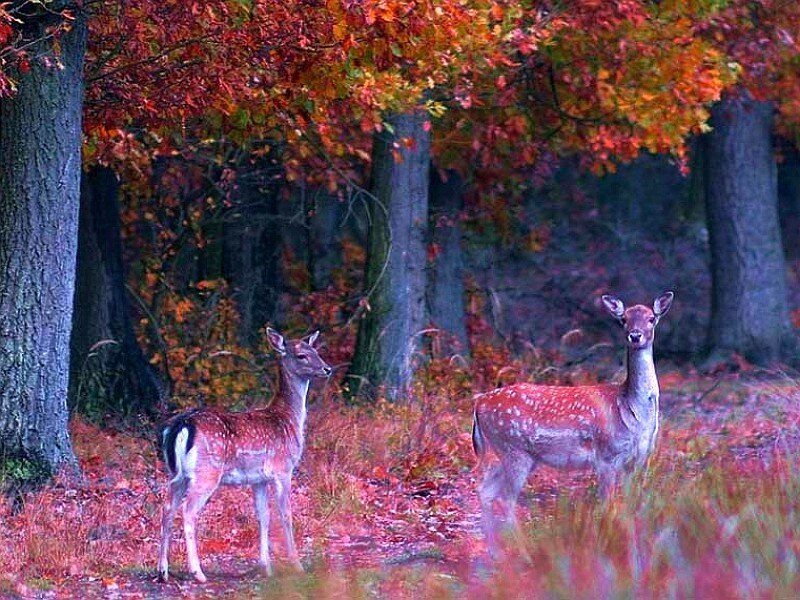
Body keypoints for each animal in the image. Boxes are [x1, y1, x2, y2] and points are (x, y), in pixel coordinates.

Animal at [157, 328, 332, 583]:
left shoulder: (258, 479)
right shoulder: (283, 469)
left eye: (316, 350)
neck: (288, 420)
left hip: (177, 474)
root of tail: (182, 425)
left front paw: (265, 566)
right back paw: (198, 572)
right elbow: (285, 515)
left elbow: (263, 516)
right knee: (188, 511)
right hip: (206, 472)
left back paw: (162, 571)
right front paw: (297, 565)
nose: (327, 369)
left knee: (168, 508)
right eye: (301, 355)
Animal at [472, 292, 674, 555]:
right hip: (513, 449)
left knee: (485, 490)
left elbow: (631, 504)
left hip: (515, 454)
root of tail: (479, 402)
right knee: (505, 499)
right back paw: (524, 550)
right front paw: (609, 544)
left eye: (651, 318)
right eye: (623, 319)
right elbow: (608, 504)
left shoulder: (639, 460)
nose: (635, 335)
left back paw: (495, 552)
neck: (632, 412)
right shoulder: (605, 455)